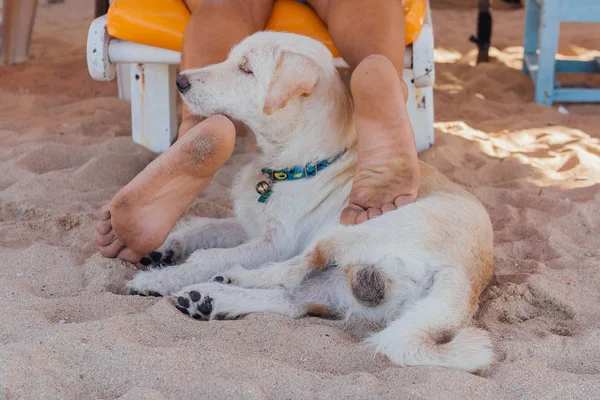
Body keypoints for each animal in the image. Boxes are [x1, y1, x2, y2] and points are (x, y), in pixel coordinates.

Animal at [124, 32, 494, 374]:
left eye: (246, 69)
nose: (180, 81)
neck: (297, 163)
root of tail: (468, 273)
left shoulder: (276, 243)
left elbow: (209, 255)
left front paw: (159, 278)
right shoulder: (252, 226)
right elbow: (205, 227)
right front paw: (165, 247)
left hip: (352, 230)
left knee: (293, 270)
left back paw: (227, 281)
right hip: (344, 287)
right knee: (291, 300)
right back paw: (208, 300)